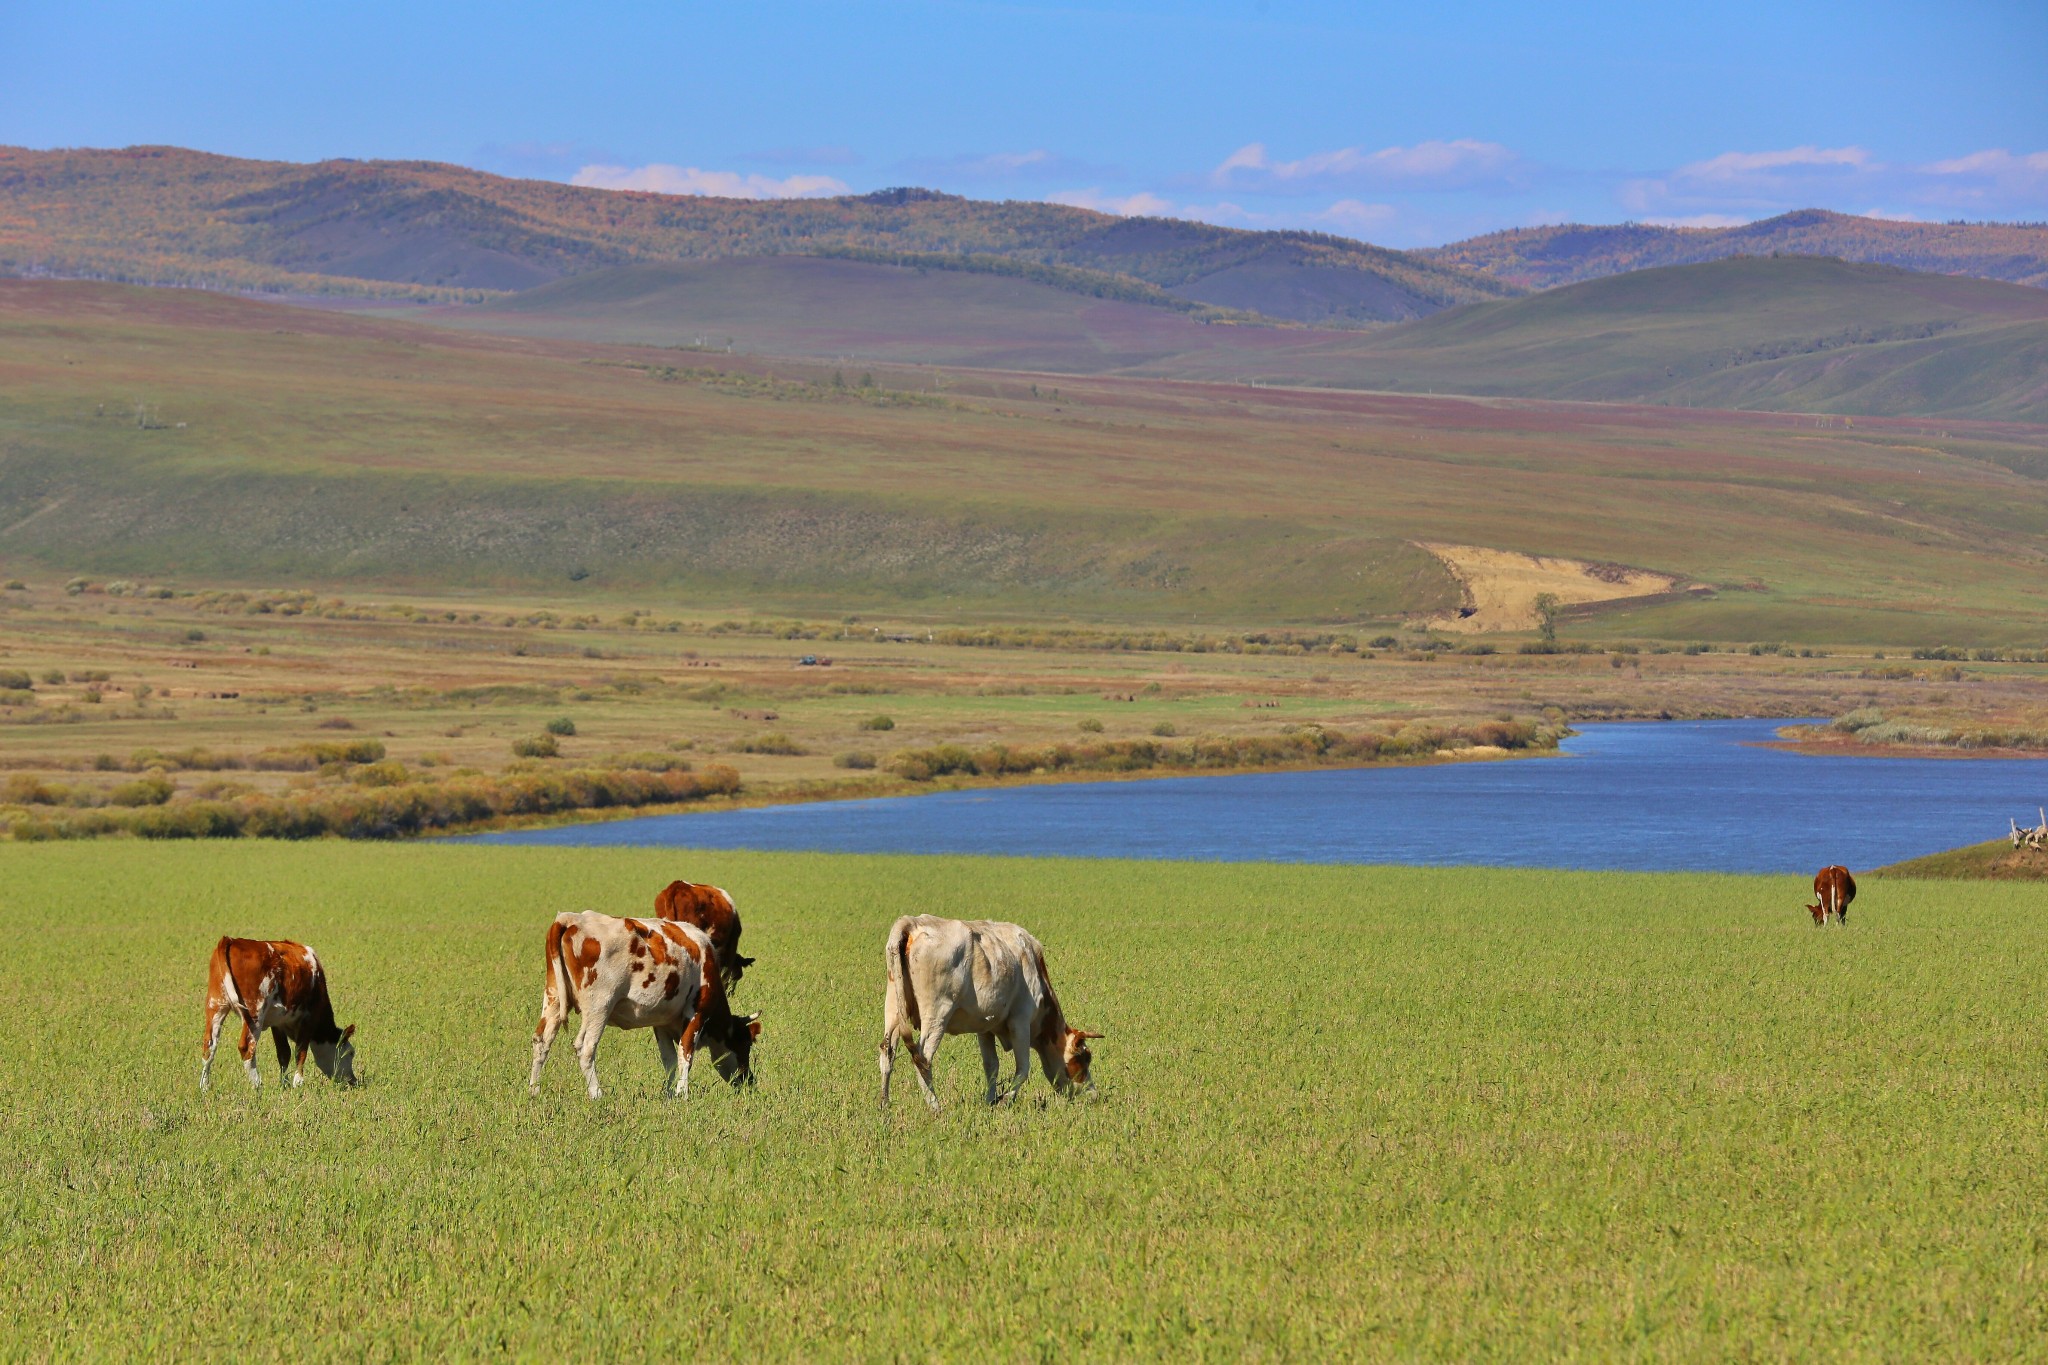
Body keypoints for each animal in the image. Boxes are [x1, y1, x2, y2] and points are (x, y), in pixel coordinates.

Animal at [200, 933, 360, 1096]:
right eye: (350, 1053)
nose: (353, 1081)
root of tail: (231, 940)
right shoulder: (309, 1017)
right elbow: (300, 1052)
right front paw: (298, 1084)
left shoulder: (278, 1023)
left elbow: (284, 1053)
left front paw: (284, 1084)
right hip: (255, 1011)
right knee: (247, 1047)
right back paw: (257, 1086)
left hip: (215, 1006)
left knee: (209, 1046)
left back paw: (204, 1087)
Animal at [528, 912, 761, 1105]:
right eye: (745, 1044)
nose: (749, 1081)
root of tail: (572, 918)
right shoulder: (697, 1013)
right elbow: (685, 1055)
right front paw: (682, 1094)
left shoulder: (662, 1022)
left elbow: (669, 1060)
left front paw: (669, 1095)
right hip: (599, 1006)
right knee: (585, 1048)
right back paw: (597, 1094)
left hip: (554, 997)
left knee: (542, 1041)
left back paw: (534, 1091)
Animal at [880, 912, 1105, 1113]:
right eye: (1083, 1059)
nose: (1093, 1096)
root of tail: (913, 922)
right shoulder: (1020, 1021)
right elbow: (1023, 1068)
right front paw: (1004, 1100)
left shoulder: (985, 1027)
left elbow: (991, 1066)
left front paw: (990, 1102)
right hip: (937, 1014)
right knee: (923, 1058)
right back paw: (935, 1106)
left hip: (893, 1008)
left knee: (887, 1052)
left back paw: (885, 1104)